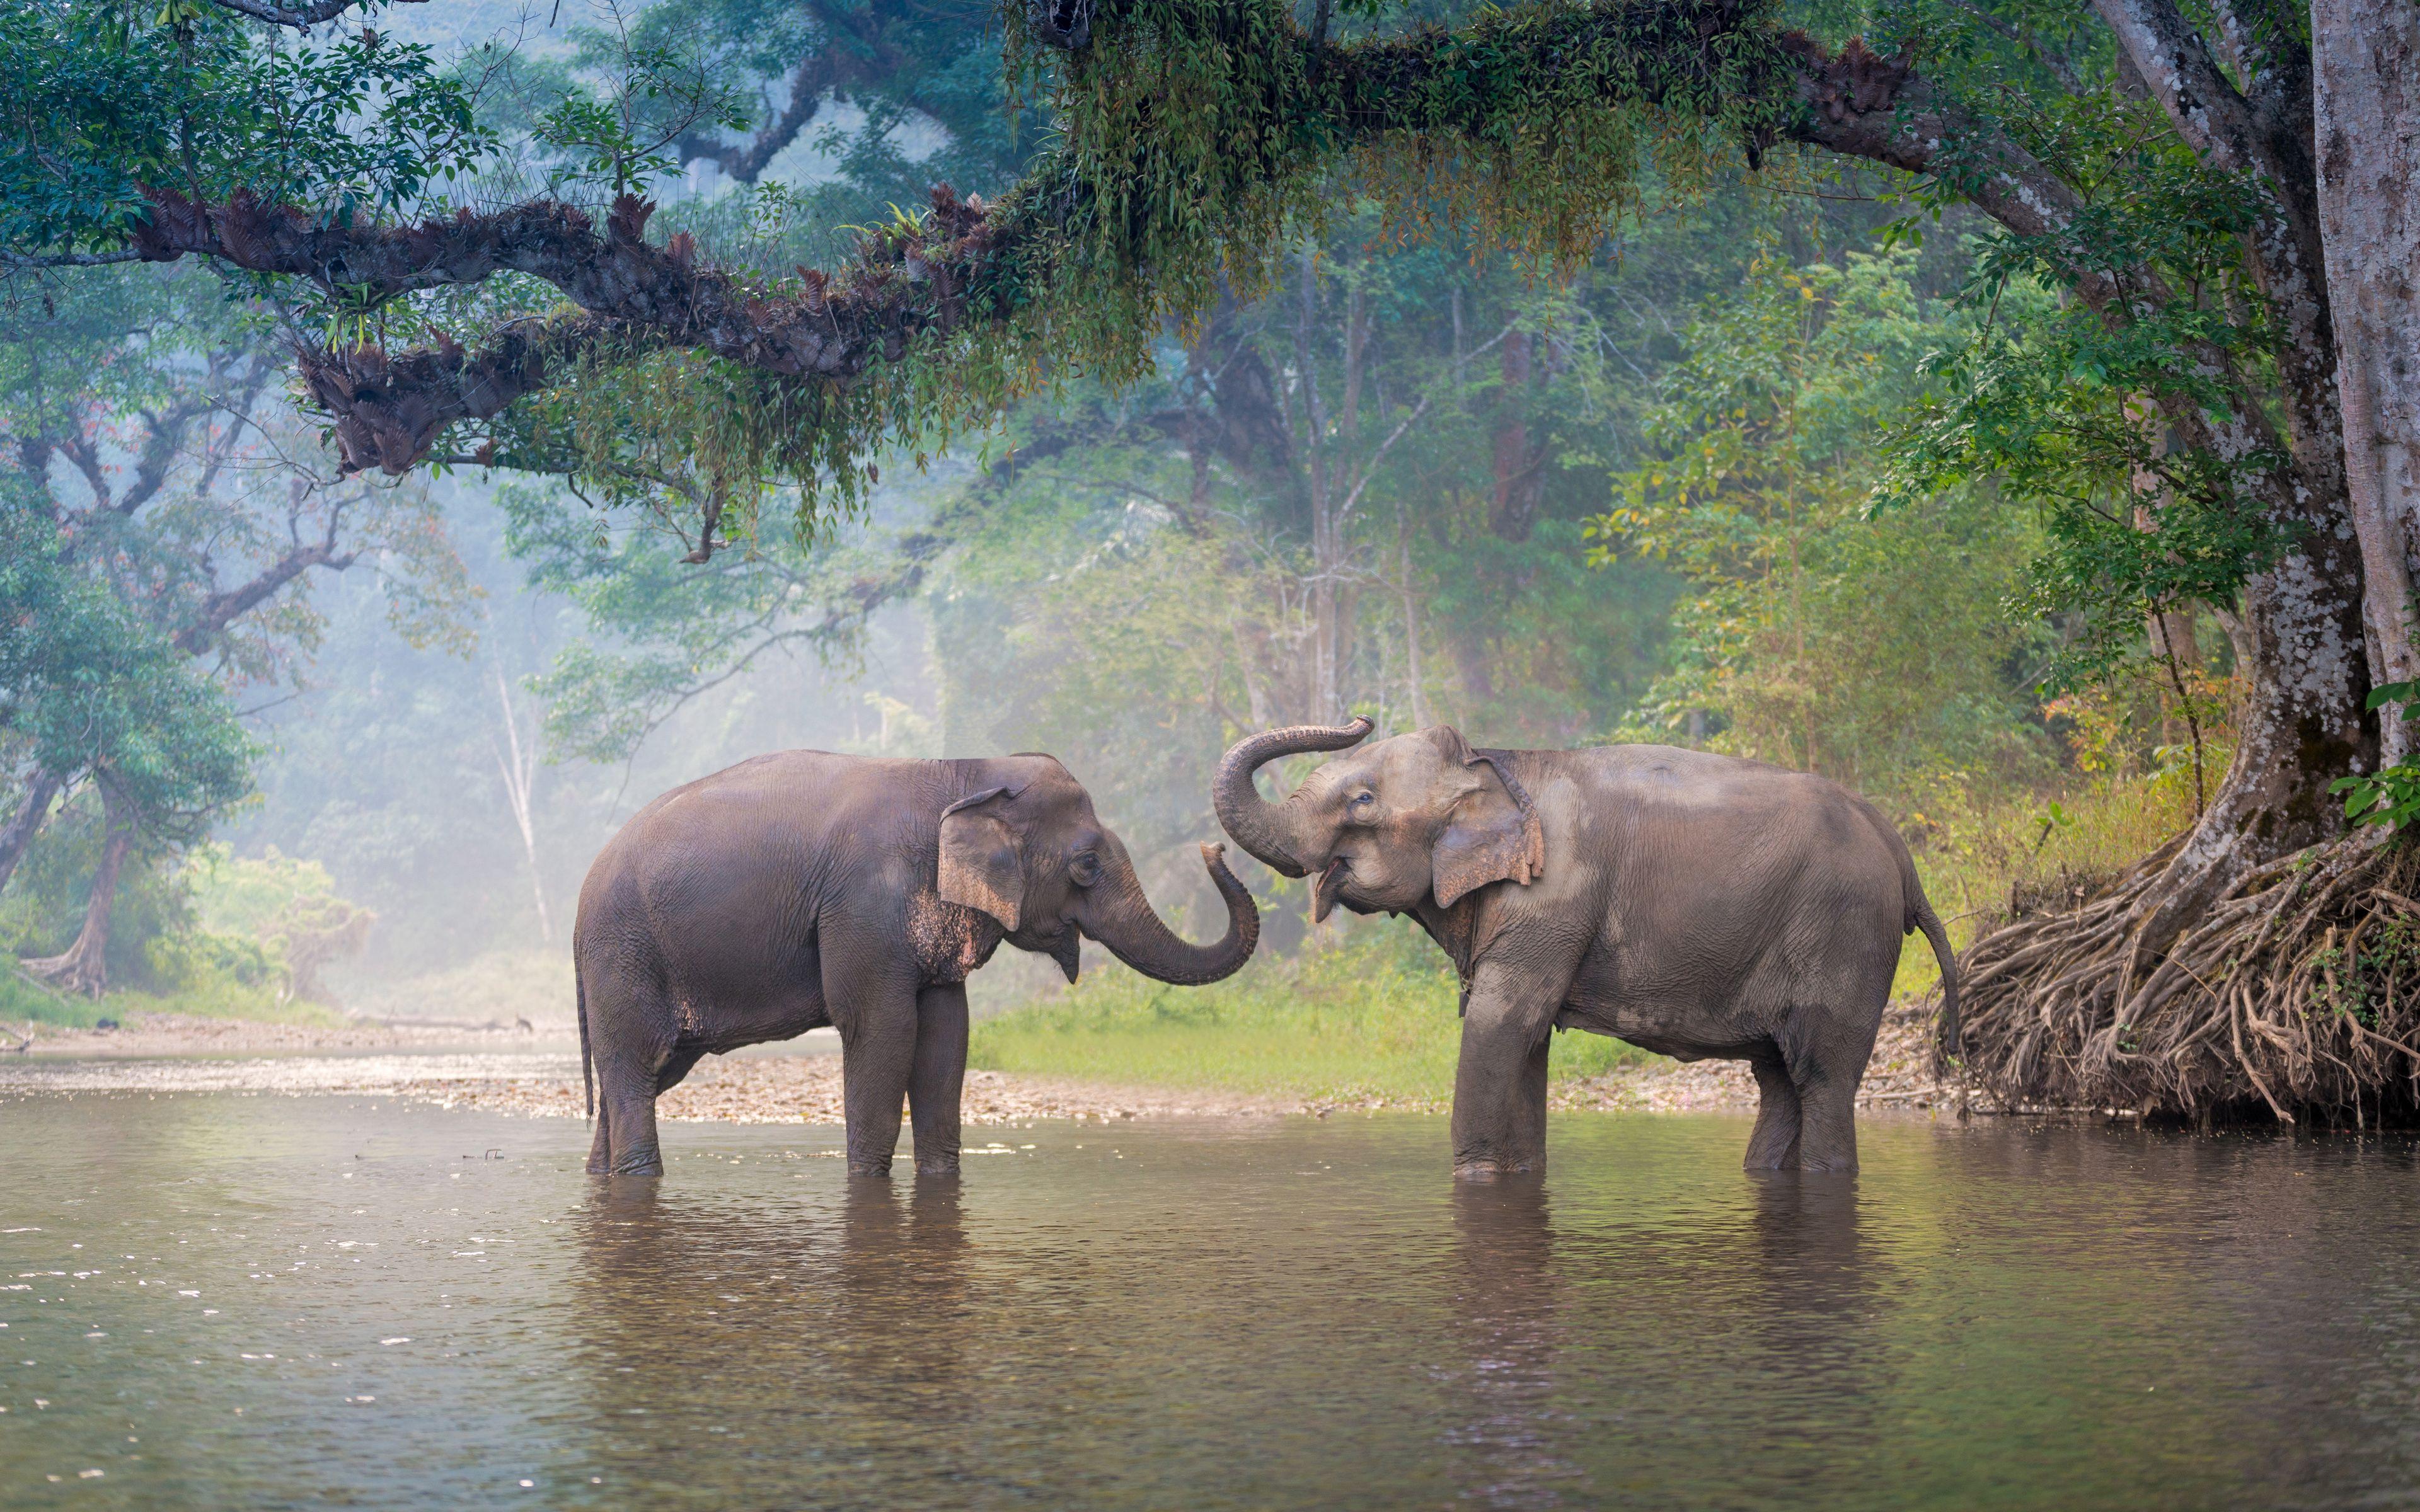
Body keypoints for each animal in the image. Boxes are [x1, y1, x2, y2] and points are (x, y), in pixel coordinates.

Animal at [574, 750, 1257, 1177]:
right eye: (1086, 864)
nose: (1215, 848)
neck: (963, 772)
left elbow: (946, 1037)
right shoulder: (864, 905)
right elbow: (883, 1029)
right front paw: (867, 1183)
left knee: (644, 1076)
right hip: (624, 954)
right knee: (635, 1068)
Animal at [1212, 719, 1956, 1177]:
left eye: (1363, 800)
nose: (1360, 716)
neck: (1497, 764)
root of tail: (1901, 854)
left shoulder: (1553, 900)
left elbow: (1501, 1025)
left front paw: (1475, 1178)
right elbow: (1525, 1042)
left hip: (1846, 933)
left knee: (1822, 1077)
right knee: (1778, 1079)